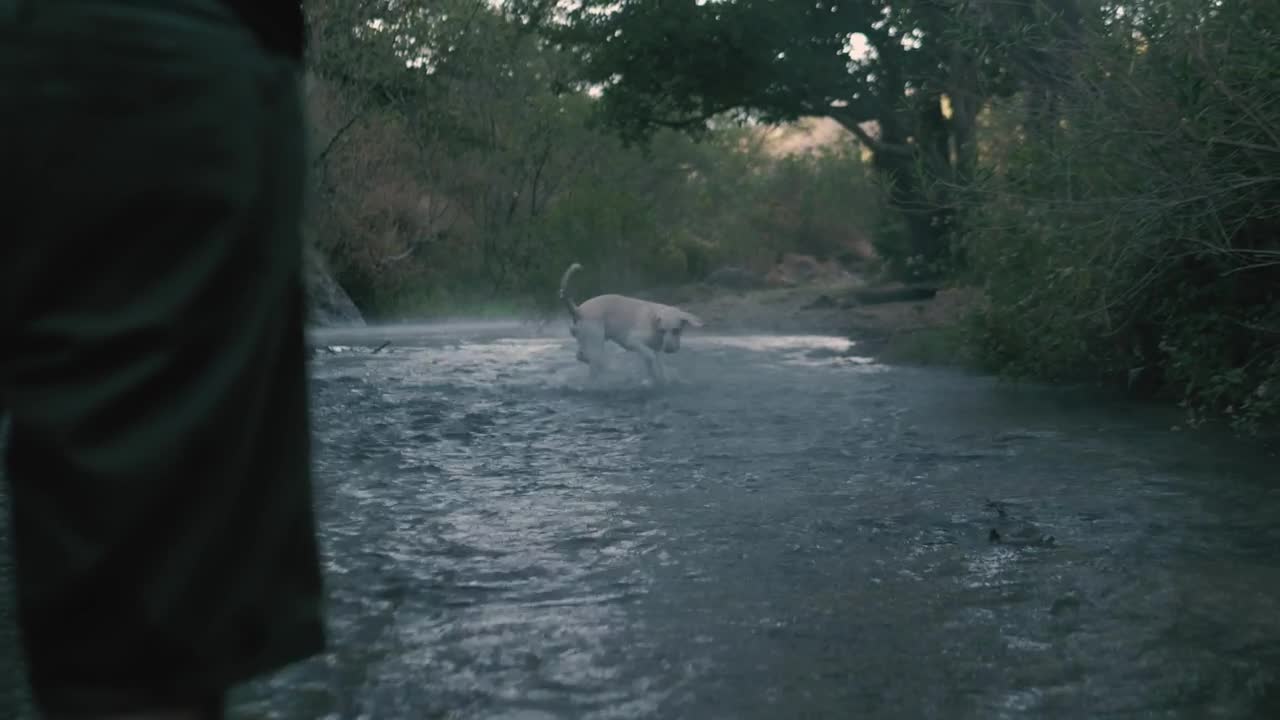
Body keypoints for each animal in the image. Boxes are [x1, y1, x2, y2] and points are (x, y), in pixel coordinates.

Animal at [558, 262, 706, 384]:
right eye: (663, 330)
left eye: (677, 330)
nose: (669, 350)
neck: (654, 324)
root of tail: (578, 310)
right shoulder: (633, 341)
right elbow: (650, 356)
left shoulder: (657, 350)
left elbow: (658, 367)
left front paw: (660, 379)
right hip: (596, 342)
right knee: (594, 365)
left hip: (585, 340)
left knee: (581, 356)